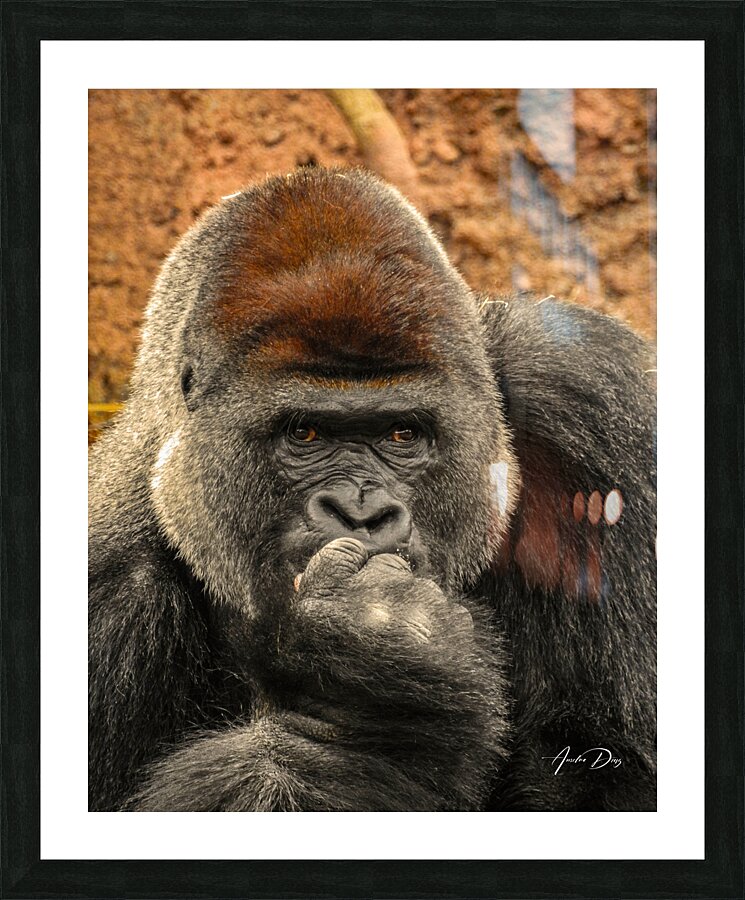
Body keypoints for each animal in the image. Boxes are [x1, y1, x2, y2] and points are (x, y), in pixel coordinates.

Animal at [88, 167, 656, 812]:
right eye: (304, 433)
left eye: (401, 433)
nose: (360, 512)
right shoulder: (108, 585)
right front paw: (367, 712)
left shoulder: (586, 391)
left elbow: (612, 768)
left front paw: (376, 690)